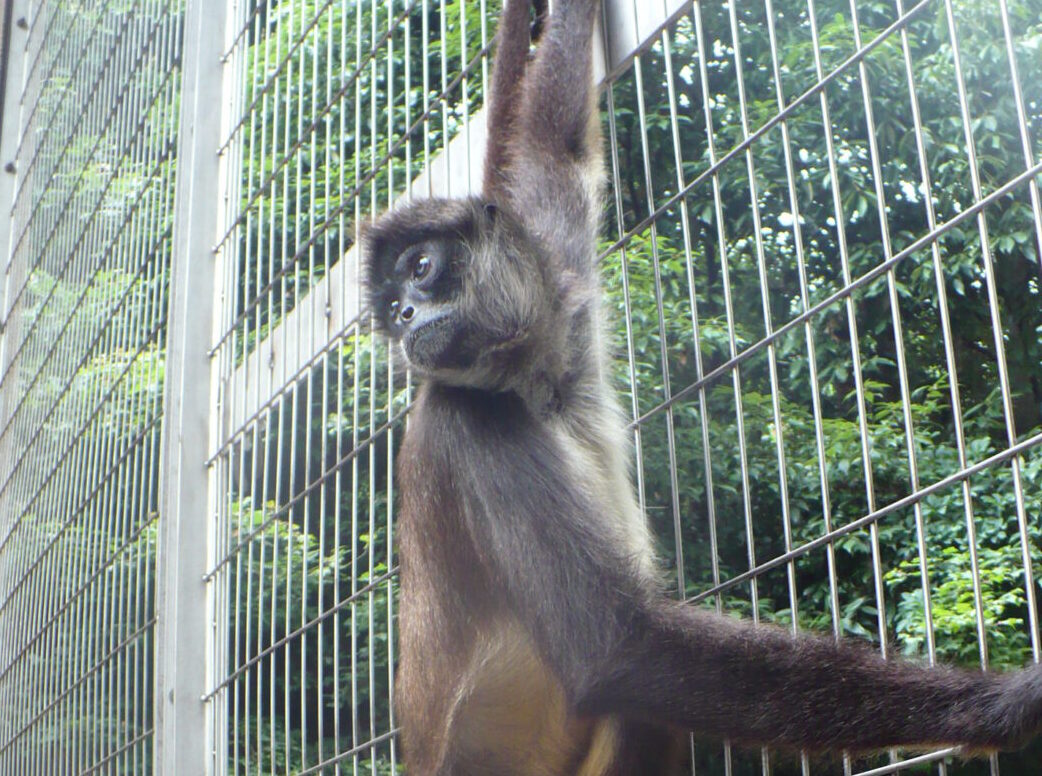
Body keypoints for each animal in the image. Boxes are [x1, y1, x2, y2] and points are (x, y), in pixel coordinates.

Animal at [364, 3, 1042, 770]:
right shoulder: (462, 410)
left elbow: (553, 144)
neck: (533, 383)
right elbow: (618, 650)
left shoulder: (563, 294)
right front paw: (1000, 705)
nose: (404, 316)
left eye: (420, 270)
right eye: (392, 307)